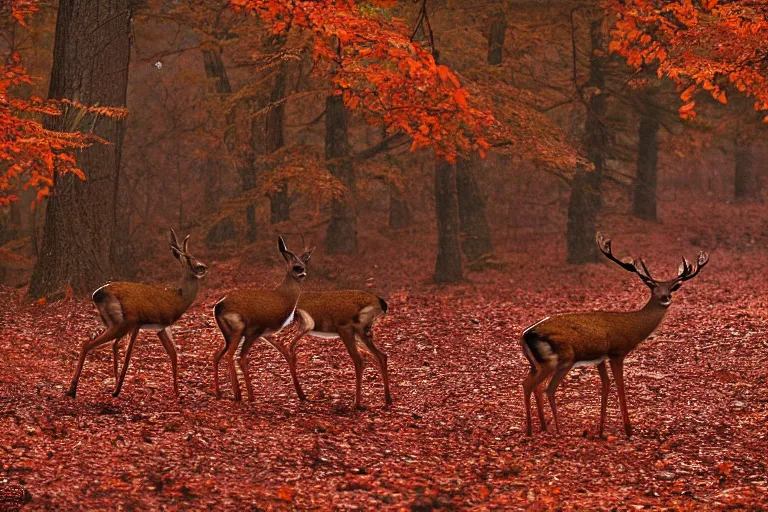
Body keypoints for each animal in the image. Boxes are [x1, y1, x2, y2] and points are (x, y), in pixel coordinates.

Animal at [66, 229, 207, 400]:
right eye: (190, 259)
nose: (204, 267)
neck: (178, 300)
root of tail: (96, 294)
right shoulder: (144, 322)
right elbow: (129, 356)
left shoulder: (160, 327)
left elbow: (173, 354)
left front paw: (178, 394)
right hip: (123, 322)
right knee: (88, 344)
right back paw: (73, 390)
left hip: (112, 322)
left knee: (101, 343)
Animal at [212, 238, 314, 402]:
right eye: (296, 267)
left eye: (304, 265)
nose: (303, 273)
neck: (283, 298)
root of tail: (217, 307)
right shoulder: (256, 330)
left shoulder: (267, 333)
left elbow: (287, 355)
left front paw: (302, 394)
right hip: (240, 329)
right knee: (235, 356)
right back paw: (243, 395)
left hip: (228, 333)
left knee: (217, 355)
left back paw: (220, 393)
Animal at [520, 234, 708, 438]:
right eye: (652, 287)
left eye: (673, 288)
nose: (665, 298)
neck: (632, 328)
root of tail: (525, 334)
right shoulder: (617, 351)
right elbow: (620, 386)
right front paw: (628, 430)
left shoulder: (600, 358)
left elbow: (606, 385)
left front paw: (601, 431)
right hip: (562, 359)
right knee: (545, 388)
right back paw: (557, 430)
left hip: (538, 364)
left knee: (529, 384)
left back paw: (536, 428)